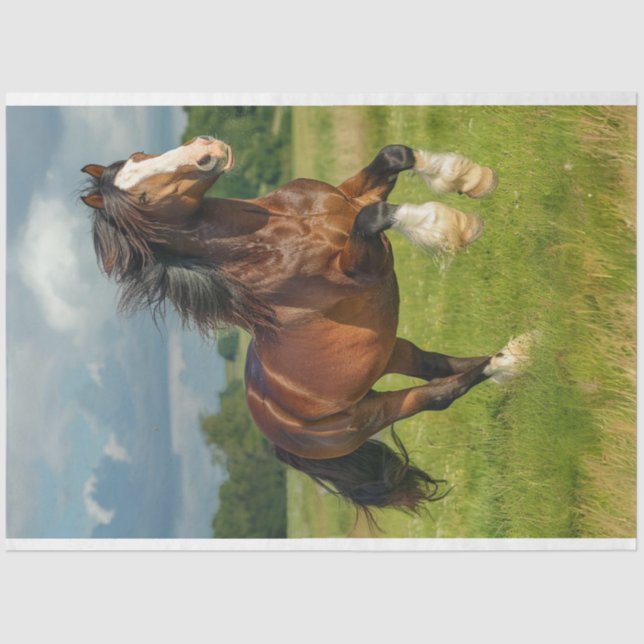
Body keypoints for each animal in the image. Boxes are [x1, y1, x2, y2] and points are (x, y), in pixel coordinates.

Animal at [81, 135, 534, 521]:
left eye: (140, 155)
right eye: (142, 197)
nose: (205, 149)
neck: (279, 232)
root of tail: (278, 440)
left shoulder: (352, 196)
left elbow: (395, 155)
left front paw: (474, 180)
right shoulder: (364, 265)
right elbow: (375, 216)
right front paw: (456, 227)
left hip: (386, 353)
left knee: (435, 364)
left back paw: (518, 351)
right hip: (371, 413)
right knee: (440, 392)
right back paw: (506, 362)